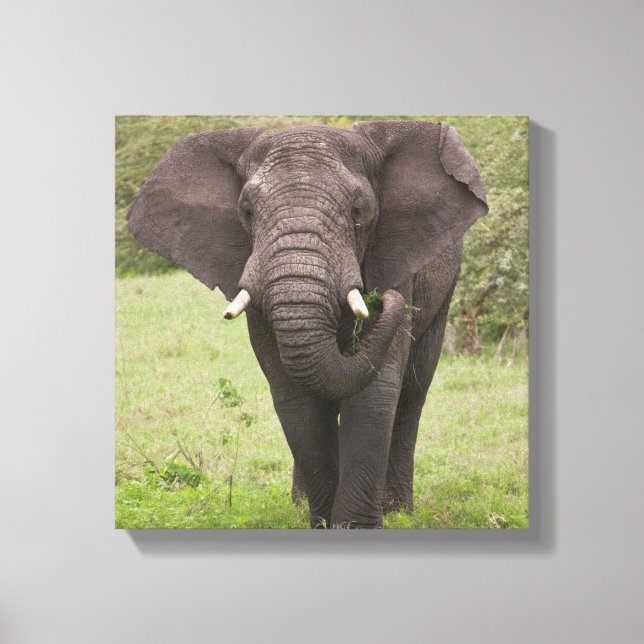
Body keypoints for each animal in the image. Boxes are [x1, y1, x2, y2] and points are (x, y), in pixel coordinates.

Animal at [127, 120, 487, 528]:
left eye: (358, 210)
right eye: (246, 212)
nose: (383, 301)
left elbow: (376, 391)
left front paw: (356, 527)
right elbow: (294, 396)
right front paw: (324, 524)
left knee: (413, 390)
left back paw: (397, 510)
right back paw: (300, 505)